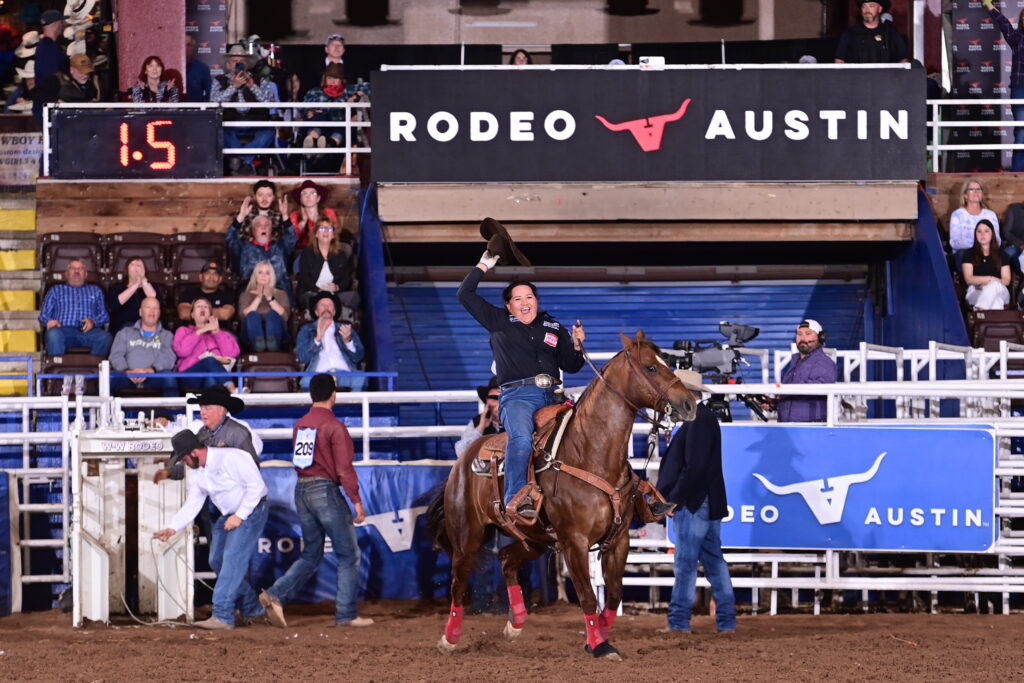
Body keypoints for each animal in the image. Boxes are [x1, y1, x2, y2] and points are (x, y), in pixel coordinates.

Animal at [423, 331, 696, 655]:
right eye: (651, 367)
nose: (690, 404)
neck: (590, 452)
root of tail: (464, 457)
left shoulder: (619, 540)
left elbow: (614, 594)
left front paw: (598, 636)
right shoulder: (574, 542)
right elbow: (588, 595)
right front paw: (600, 646)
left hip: (535, 540)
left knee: (506, 559)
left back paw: (515, 623)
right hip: (468, 537)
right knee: (458, 582)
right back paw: (449, 639)